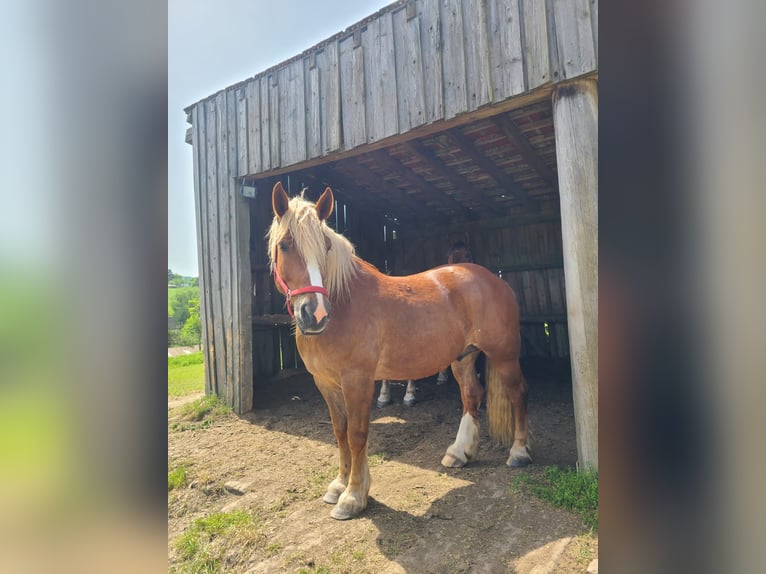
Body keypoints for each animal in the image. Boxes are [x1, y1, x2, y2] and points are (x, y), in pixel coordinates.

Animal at [270, 183, 536, 520]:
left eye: (326, 247)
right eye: (285, 245)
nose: (314, 314)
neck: (343, 306)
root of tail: (495, 280)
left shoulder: (357, 381)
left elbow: (357, 434)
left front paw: (353, 496)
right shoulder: (326, 383)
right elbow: (340, 432)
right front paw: (339, 485)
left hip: (504, 355)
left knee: (518, 393)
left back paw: (519, 452)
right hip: (462, 357)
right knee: (471, 395)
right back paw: (459, 452)